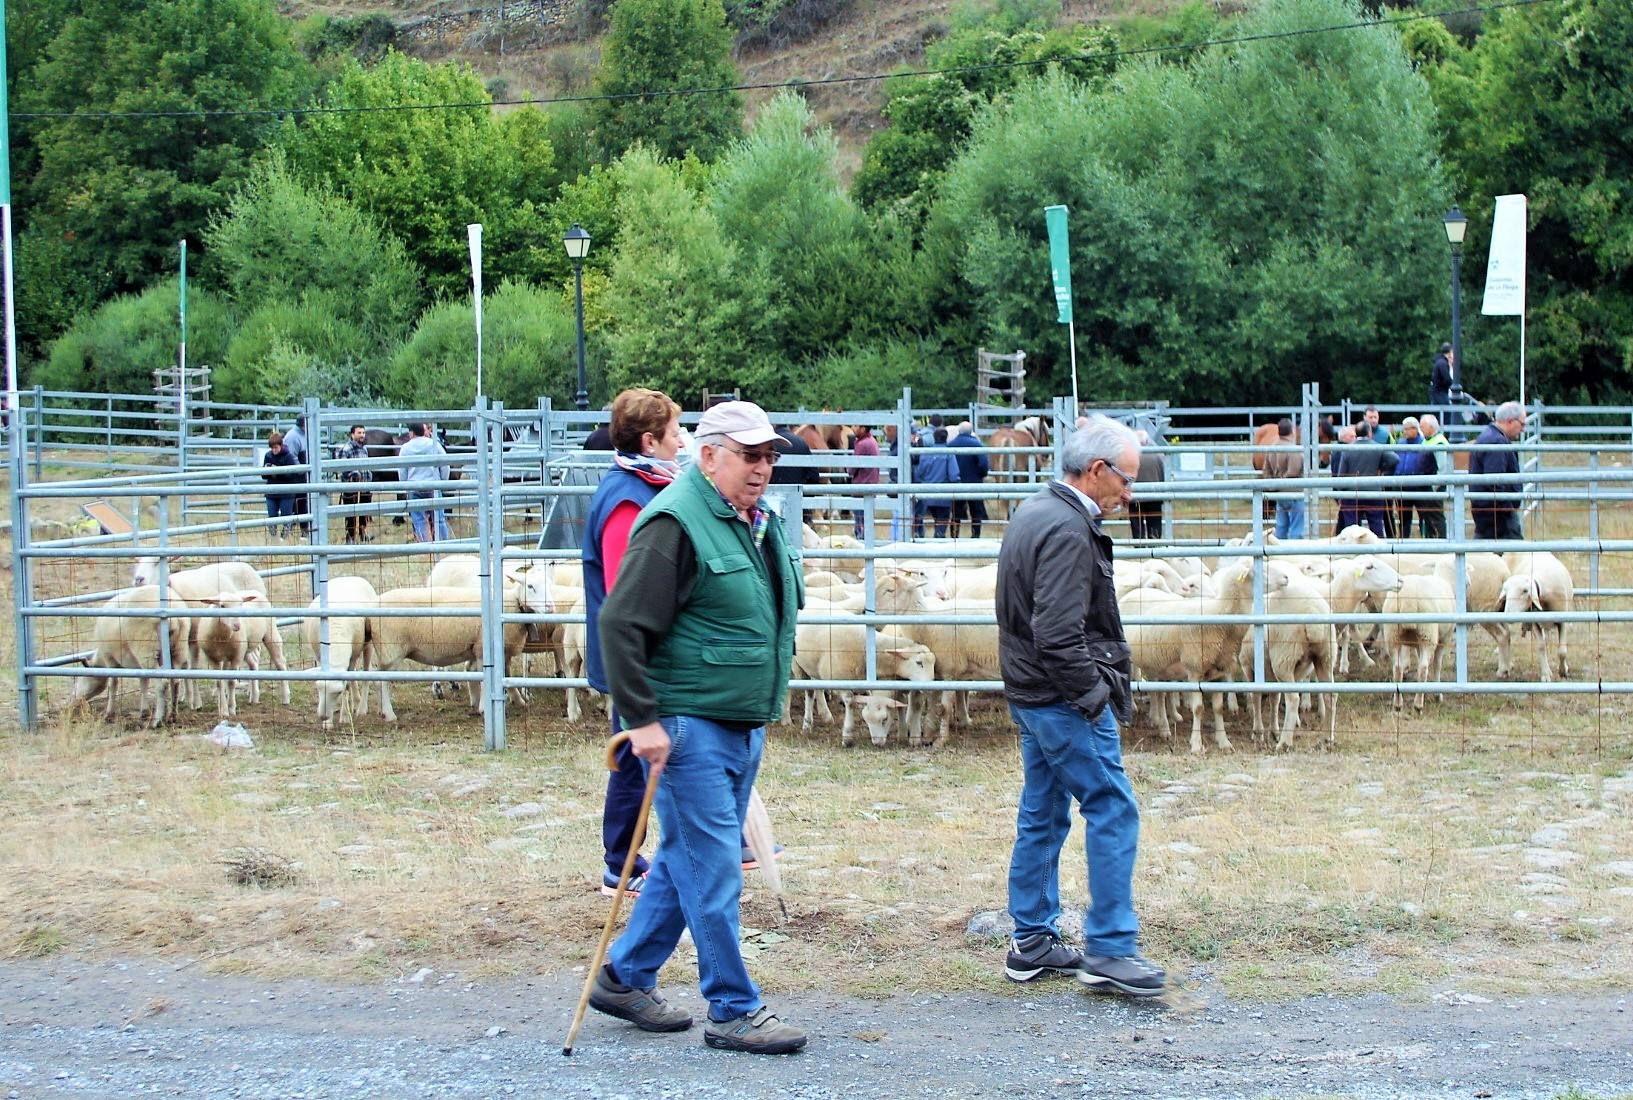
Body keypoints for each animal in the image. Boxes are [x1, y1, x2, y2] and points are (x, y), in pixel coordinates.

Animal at [68, 581, 189, 727]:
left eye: (82, 677)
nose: (74, 701)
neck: (100, 659)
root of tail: (175, 617)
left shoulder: (110, 658)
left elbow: (112, 685)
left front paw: (109, 714)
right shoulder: (138, 665)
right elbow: (143, 683)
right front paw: (144, 711)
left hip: (146, 650)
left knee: (162, 684)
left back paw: (158, 720)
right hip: (178, 648)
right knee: (175, 681)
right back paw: (172, 716)